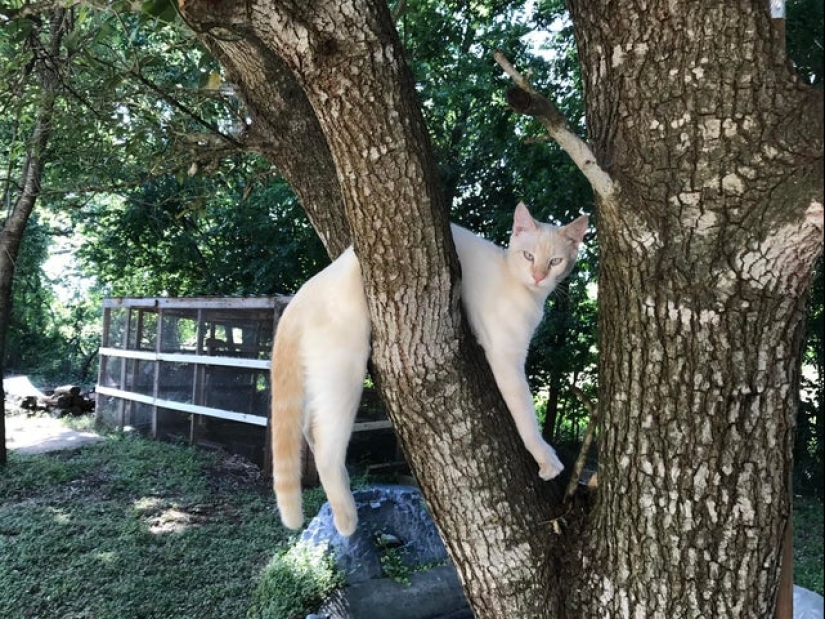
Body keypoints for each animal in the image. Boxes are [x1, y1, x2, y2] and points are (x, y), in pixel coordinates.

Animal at [270, 203, 584, 536]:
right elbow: (525, 415)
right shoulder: (506, 358)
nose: (538, 276)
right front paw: (545, 458)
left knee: (309, 429)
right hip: (346, 370)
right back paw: (347, 519)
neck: (521, 287)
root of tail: (304, 293)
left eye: (555, 261)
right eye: (528, 256)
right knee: (326, 446)